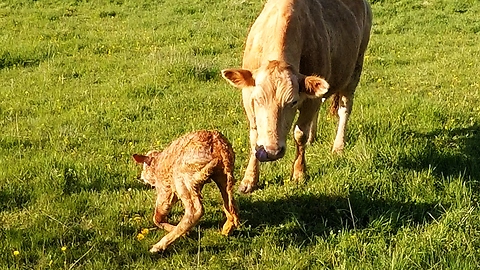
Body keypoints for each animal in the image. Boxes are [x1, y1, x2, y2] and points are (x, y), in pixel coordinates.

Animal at [221, 0, 372, 193]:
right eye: (258, 99)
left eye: (292, 102)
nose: (271, 151)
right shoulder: (247, 96)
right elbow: (254, 136)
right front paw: (249, 179)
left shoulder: (310, 100)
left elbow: (300, 134)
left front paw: (299, 173)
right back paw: (313, 138)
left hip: (355, 70)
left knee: (344, 109)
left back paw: (338, 146)